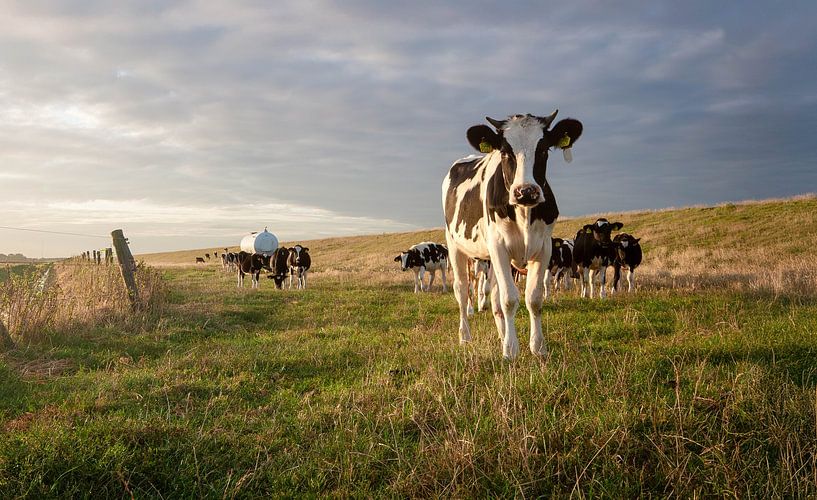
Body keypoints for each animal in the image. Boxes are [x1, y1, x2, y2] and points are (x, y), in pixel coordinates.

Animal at [442, 111, 583, 359]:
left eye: (544, 150)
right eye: (506, 152)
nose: (526, 191)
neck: (524, 214)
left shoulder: (544, 248)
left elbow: (533, 298)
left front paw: (537, 347)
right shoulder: (499, 247)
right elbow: (509, 299)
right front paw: (510, 350)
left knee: (494, 296)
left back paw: (501, 335)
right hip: (455, 246)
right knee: (462, 290)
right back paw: (465, 337)